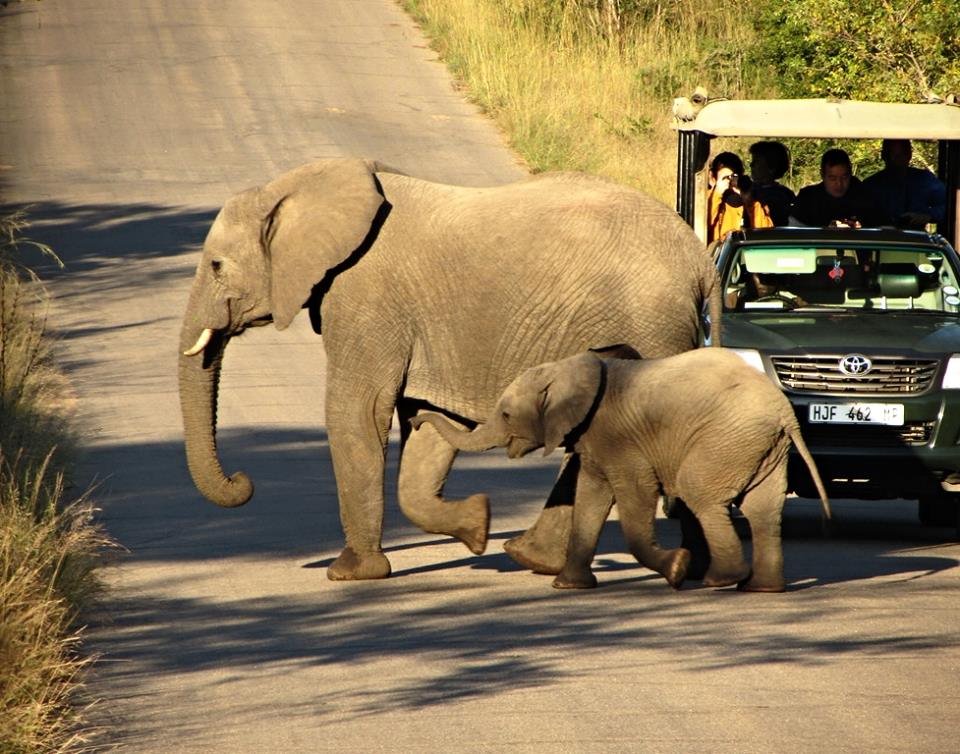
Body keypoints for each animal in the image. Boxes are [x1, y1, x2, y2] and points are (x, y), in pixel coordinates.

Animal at [178, 158, 722, 580]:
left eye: (217, 266)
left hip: (649, 324)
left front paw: (351, 573)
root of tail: (702, 263)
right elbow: (428, 435)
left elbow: (358, 411)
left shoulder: (365, 297)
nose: (243, 482)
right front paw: (477, 527)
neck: (292, 189)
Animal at [411, 347, 831, 592]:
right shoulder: (595, 439)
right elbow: (590, 498)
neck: (568, 368)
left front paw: (676, 569)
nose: (414, 420)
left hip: (726, 439)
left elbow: (635, 497)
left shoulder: (622, 440)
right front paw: (569, 587)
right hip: (763, 447)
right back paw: (761, 588)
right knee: (764, 511)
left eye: (505, 415)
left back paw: (720, 580)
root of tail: (783, 412)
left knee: (701, 494)